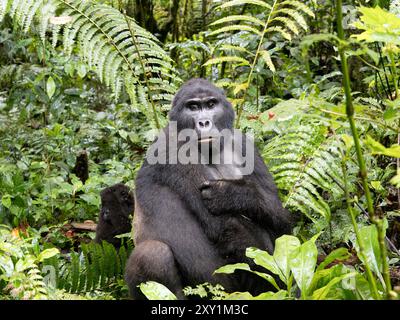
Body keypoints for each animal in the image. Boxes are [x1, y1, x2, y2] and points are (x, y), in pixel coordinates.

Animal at [125, 79, 294, 298]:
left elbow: (280, 221)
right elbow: (223, 225)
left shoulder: (244, 143)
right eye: (193, 107)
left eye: (211, 104)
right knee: (152, 254)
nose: (204, 122)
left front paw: (234, 195)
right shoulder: (171, 148)